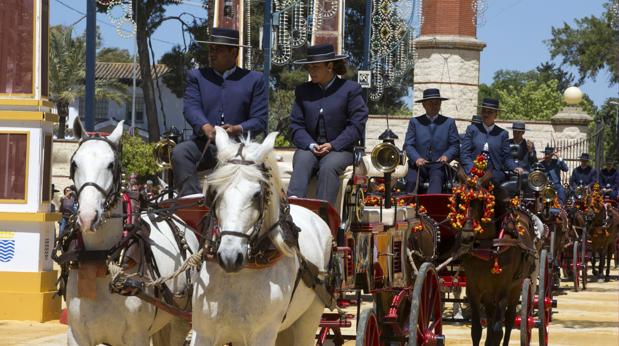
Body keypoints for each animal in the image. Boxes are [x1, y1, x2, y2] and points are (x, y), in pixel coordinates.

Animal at [65, 120, 199, 344]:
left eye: (111, 164)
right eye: (74, 163)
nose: (87, 216)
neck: (99, 261)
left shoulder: (137, 337)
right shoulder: (77, 335)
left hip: (181, 318)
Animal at [193, 127, 334, 346]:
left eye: (256, 194)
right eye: (215, 192)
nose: (229, 257)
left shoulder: (263, 335)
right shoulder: (203, 333)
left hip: (309, 317)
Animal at [452, 172, 540, 346]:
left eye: (481, 201)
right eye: (459, 199)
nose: (466, 237)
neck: (487, 246)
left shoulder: (503, 290)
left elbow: (498, 330)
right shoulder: (474, 289)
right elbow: (476, 330)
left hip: (516, 287)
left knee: (509, 319)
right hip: (488, 292)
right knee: (491, 317)